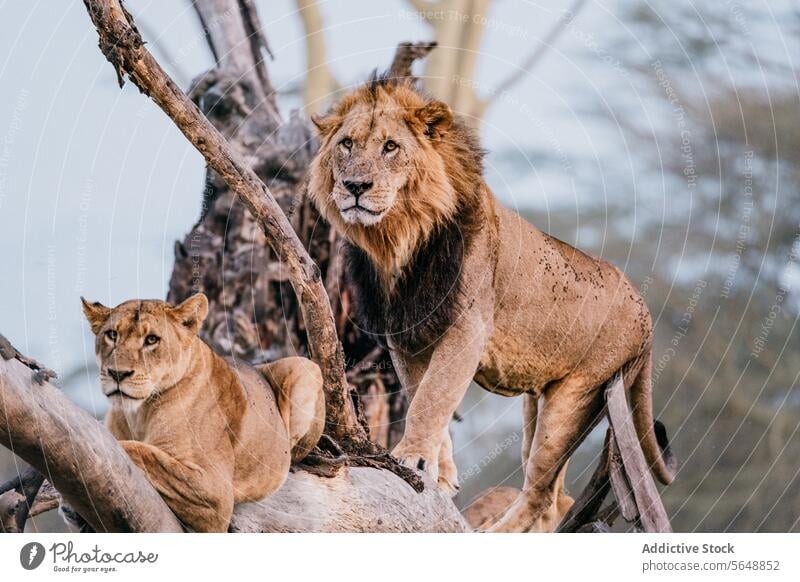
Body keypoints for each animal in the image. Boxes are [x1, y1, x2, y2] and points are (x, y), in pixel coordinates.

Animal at [78, 296, 322, 532]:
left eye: (151, 340)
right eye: (112, 335)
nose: (117, 373)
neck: (137, 414)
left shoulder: (214, 491)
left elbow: (140, 451)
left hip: (305, 367)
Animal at [306, 76, 676, 532]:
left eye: (390, 147)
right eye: (347, 144)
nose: (355, 187)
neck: (398, 239)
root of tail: (645, 314)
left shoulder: (468, 327)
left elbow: (433, 398)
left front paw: (412, 457)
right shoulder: (405, 336)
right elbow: (424, 395)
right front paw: (440, 473)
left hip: (575, 399)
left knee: (540, 493)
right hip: (538, 403)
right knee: (557, 498)